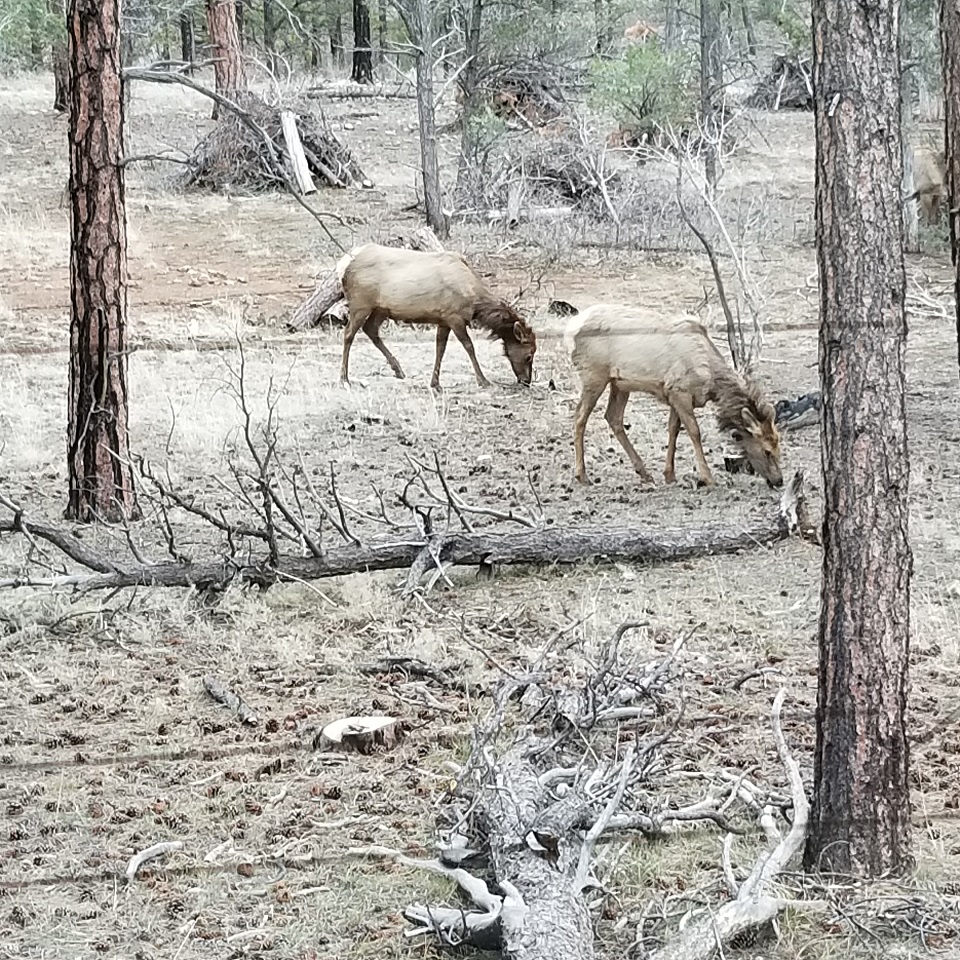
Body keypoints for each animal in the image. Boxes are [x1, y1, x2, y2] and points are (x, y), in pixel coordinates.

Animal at [338, 244, 536, 390]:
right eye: (529, 355)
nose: (526, 381)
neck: (475, 302)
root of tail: (344, 268)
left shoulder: (444, 319)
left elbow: (440, 348)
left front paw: (435, 383)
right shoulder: (454, 316)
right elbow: (469, 346)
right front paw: (483, 380)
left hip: (381, 309)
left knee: (370, 329)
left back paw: (398, 370)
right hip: (360, 303)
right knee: (348, 334)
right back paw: (344, 378)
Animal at [568, 306, 784, 488]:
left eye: (778, 445)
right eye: (767, 450)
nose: (779, 480)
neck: (709, 377)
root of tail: (571, 329)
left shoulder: (674, 393)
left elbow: (674, 429)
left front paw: (669, 474)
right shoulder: (680, 391)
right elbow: (694, 432)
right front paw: (707, 477)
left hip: (619, 383)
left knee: (613, 417)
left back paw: (644, 472)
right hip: (594, 375)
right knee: (580, 417)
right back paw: (582, 475)